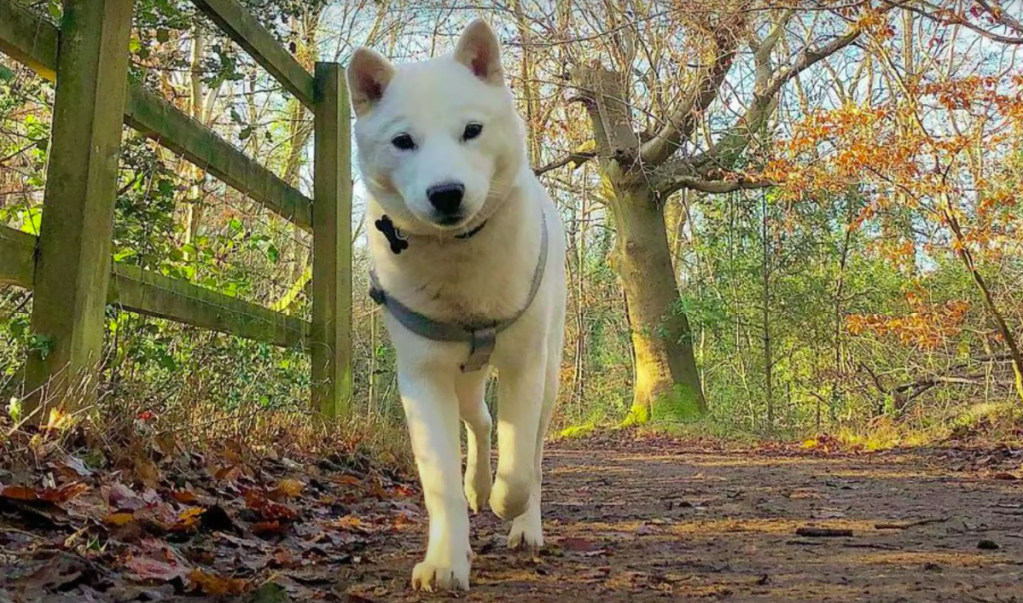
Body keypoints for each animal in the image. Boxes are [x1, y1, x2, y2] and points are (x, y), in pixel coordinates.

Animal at [345, 19, 568, 593]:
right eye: (403, 141)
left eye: (472, 130)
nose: (446, 193)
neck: (460, 258)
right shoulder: (422, 376)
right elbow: (440, 479)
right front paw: (446, 559)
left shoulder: (524, 365)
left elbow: (520, 466)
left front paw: (506, 504)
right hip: (461, 377)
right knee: (481, 419)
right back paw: (476, 486)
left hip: (549, 371)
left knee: (532, 451)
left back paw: (523, 524)